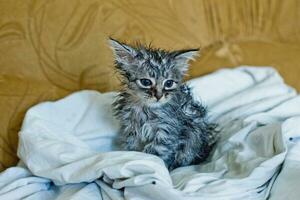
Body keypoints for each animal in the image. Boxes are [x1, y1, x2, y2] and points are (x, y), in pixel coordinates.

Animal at [109, 38, 217, 170]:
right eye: (146, 82)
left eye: (169, 83)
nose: (159, 96)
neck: (146, 109)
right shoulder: (131, 129)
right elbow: (133, 149)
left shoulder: (167, 131)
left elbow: (155, 155)